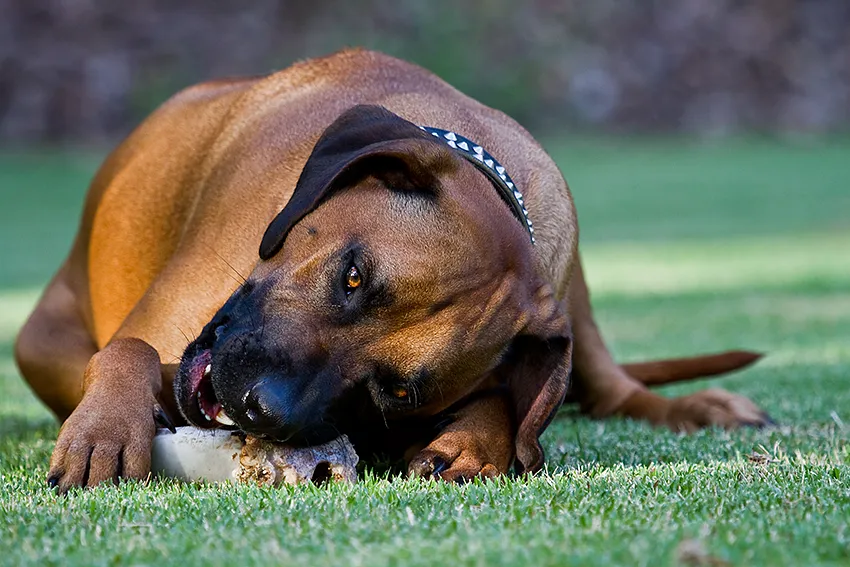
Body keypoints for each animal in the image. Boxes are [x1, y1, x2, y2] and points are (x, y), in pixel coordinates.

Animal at [13, 48, 768, 492]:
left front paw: (473, 438)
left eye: (395, 392)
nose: (257, 406)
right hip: (38, 344)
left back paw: (696, 407)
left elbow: (509, 405)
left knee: (610, 387)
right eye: (352, 275)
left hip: (574, 290)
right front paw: (107, 429)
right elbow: (130, 350)